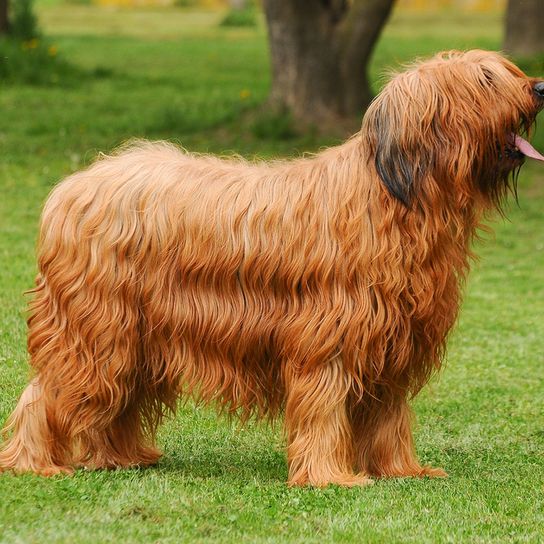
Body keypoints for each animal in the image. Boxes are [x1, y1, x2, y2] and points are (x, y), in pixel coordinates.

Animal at [1, 50, 544, 484]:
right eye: (485, 79)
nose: (539, 86)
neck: (391, 196)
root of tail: (74, 185)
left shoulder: (392, 343)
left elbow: (388, 417)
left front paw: (402, 471)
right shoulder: (327, 338)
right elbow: (323, 410)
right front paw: (330, 478)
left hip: (133, 335)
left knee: (116, 397)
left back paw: (120, 457)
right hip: (95, 329)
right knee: (48, 392)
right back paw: (34, 462)